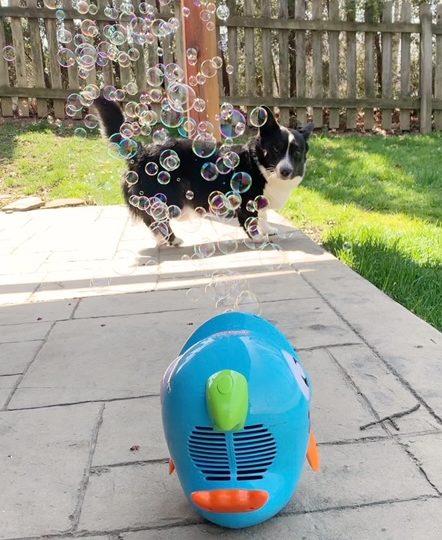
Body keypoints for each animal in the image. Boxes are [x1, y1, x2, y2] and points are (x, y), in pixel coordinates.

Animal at [94, 97, 312, 247]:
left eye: (296, 152)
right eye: (276, 149)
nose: (285, 171)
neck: (259, 164)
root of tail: (141, 152)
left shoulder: (261, 200)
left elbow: (264, 215)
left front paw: (269, 229)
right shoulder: (246, 199)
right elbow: (251, 220)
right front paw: (258, 237)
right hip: (168, 198)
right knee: (155, 219)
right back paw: (172, 240)